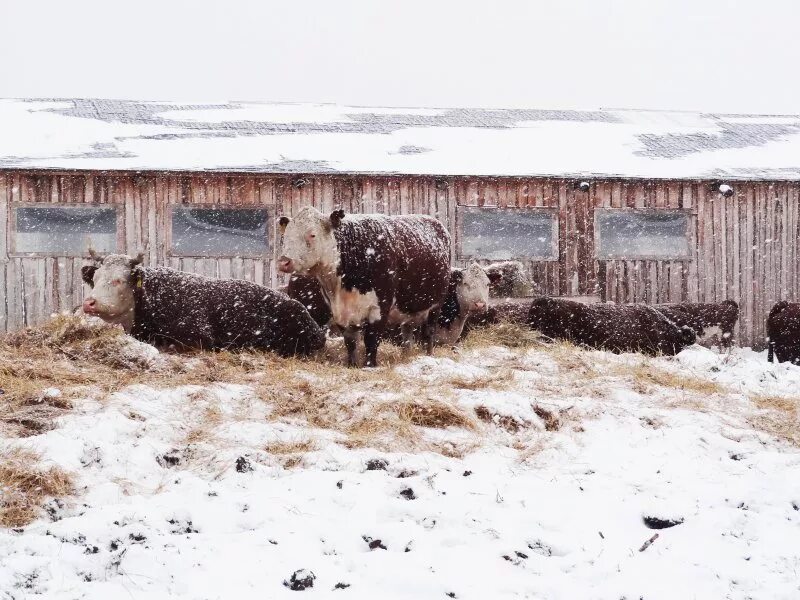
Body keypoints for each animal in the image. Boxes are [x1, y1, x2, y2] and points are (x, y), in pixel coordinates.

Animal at [276, 206, 450, 368]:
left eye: (312, 234)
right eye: (286, 235)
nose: (284, 261)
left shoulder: (380, 308)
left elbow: (371, 340)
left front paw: (370, 366)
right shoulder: (339, 311)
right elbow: (350, 341)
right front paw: (352, 364)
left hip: (436, 305)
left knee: (429, 332)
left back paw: (429, 356)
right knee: (407, 333)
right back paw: (407, 356)